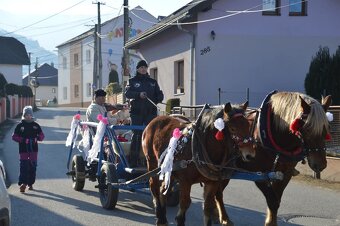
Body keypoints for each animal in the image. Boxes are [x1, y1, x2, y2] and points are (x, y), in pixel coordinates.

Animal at [219, 91, 330, 225]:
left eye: (327, 127)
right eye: (307, 129)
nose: (320, 164)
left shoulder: (285, 174)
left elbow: (276, 200)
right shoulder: (259, 175)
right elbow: (272, 201)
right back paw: (224, 218)